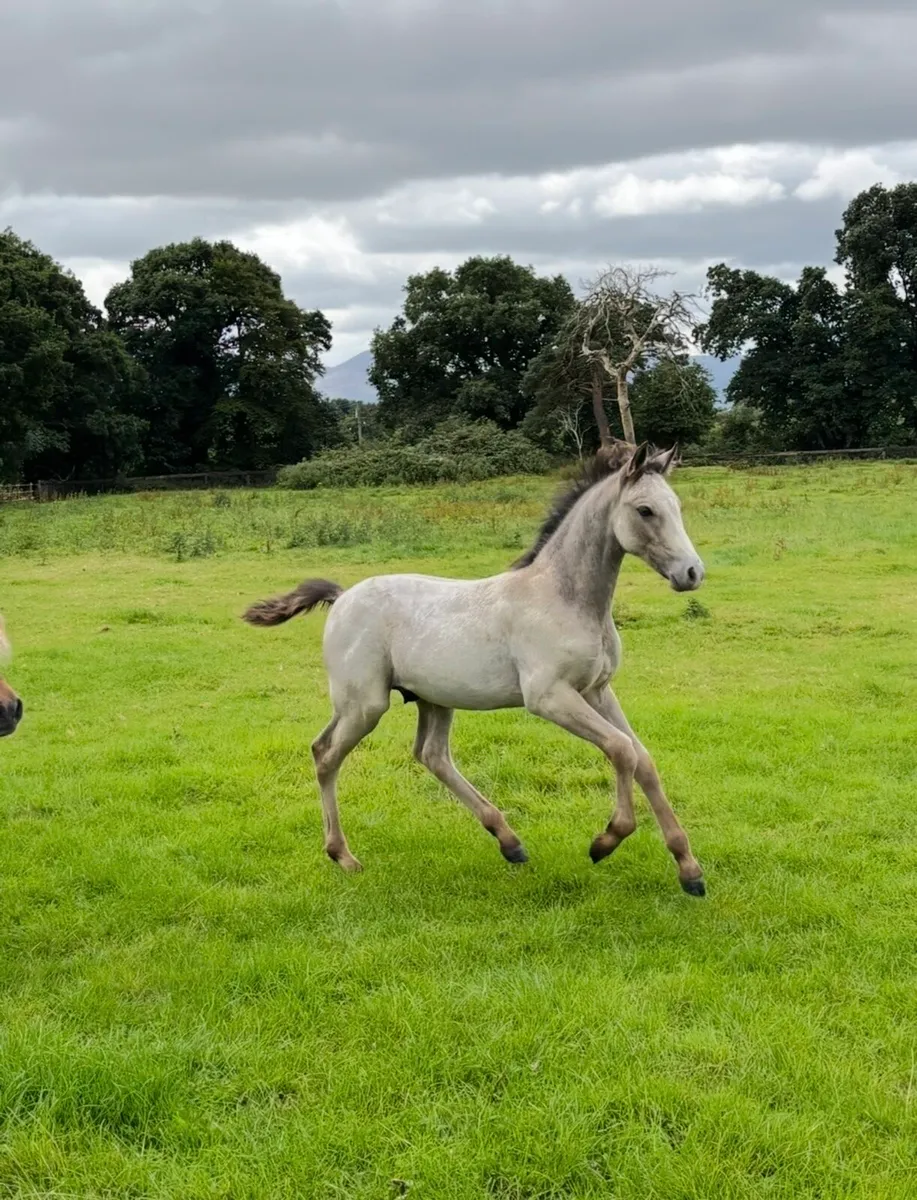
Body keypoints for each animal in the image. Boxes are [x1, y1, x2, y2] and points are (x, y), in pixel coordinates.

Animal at [243, 440, 708, 895]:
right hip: (364, 704)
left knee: (430, 755)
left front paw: (689, 869)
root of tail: (341, 598)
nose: (692, 573)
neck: (564, 598)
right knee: (325, 754)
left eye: (677, 505)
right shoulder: (549, 697)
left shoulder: (597, 690)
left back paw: (509, 842)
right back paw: (344, 857)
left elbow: (642, 759)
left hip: (431, 698)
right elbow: (621, 749)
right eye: (645, 510)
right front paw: (605, 841)